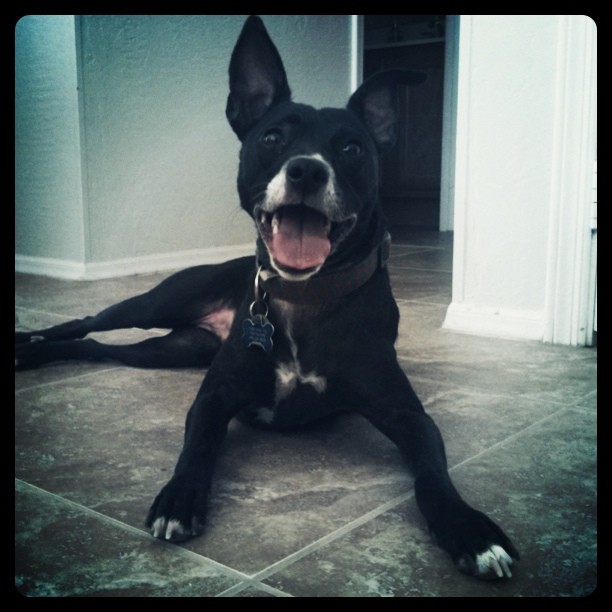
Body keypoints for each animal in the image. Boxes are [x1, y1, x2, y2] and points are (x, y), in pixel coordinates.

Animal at [14, 14, 520, 580]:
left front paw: (469, 528)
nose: (307, 170)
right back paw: (26, 341)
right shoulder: (214, 396)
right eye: (273, 137)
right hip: (159, 303)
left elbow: (432, 472)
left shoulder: (409, 416)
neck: (305, 297)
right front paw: (179, 497)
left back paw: (33, 352)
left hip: (170, 349)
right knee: (84, 321)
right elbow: (198, 444)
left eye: (352, 149)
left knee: (97, 348)